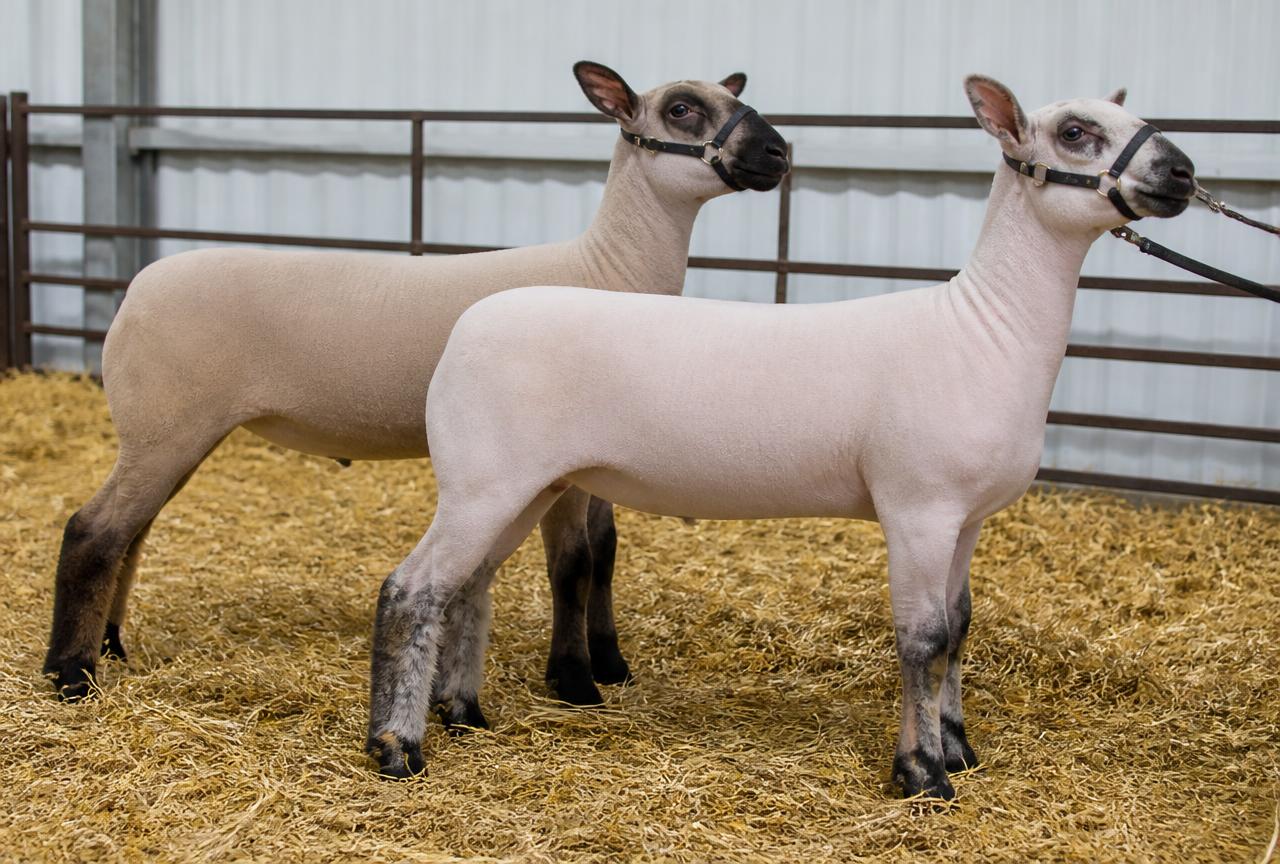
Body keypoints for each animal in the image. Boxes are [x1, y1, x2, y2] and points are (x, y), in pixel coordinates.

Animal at [43, 61, 791, 720]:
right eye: (682, 109)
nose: (779, 151)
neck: (606, 268)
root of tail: (137, 289)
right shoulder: (557, 463)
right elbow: (574, 564)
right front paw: (576, 682)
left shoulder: (599, 453)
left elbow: (604, 554)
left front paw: (611, 664)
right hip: (165, 426)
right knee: (93, 530)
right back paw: (71, 675)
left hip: (167, 432)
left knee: (131, 532)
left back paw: (112, 647)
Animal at [365, 76, 1197, 797]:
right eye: (1075, 132)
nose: (1183, 173)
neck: (983, 327)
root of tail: (469, 325)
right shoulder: (918, 509)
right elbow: (922, 639)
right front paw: (922, 774)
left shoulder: (967, 518)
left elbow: (960, 628)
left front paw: (958, 746)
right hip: (483, 480)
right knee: (411, 589)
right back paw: (397, 747)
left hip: (524, 486)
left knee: (466, 588)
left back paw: (463, 714)